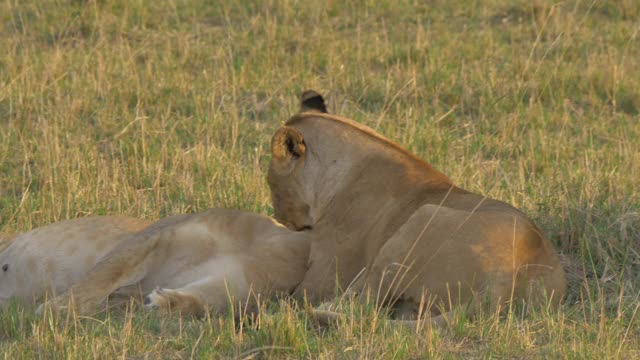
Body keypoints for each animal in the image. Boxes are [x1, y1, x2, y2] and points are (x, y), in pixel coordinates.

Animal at [268, 90, 568, 326]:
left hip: (418, 222)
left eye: (271, 184)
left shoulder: (324, 276)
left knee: (363, 307)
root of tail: (506, 282)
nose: (281, 218)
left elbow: (293, 295)